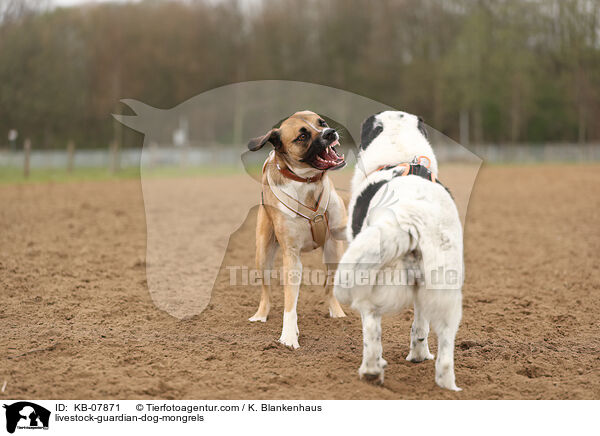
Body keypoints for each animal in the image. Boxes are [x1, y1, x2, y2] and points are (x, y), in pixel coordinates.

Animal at [246, 110, 346, 350]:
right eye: (302, 137)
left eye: (322, 123)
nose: (330, 133)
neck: (307, 181)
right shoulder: (291, 255)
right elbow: (290, 302)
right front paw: (289, 336)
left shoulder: (338, 234)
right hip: (263, 254)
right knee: (266, 292)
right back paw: (261, 315)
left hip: (333, 254)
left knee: (329, 287)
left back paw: (337, 312)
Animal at [332, 110, 464, 390]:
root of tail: (410, 215)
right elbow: (420, 324)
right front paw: (419, 355)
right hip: (445, 289)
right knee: (445, 350)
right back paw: (444, 383)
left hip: (370, 280)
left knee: (371, 330)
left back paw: (370, 371)